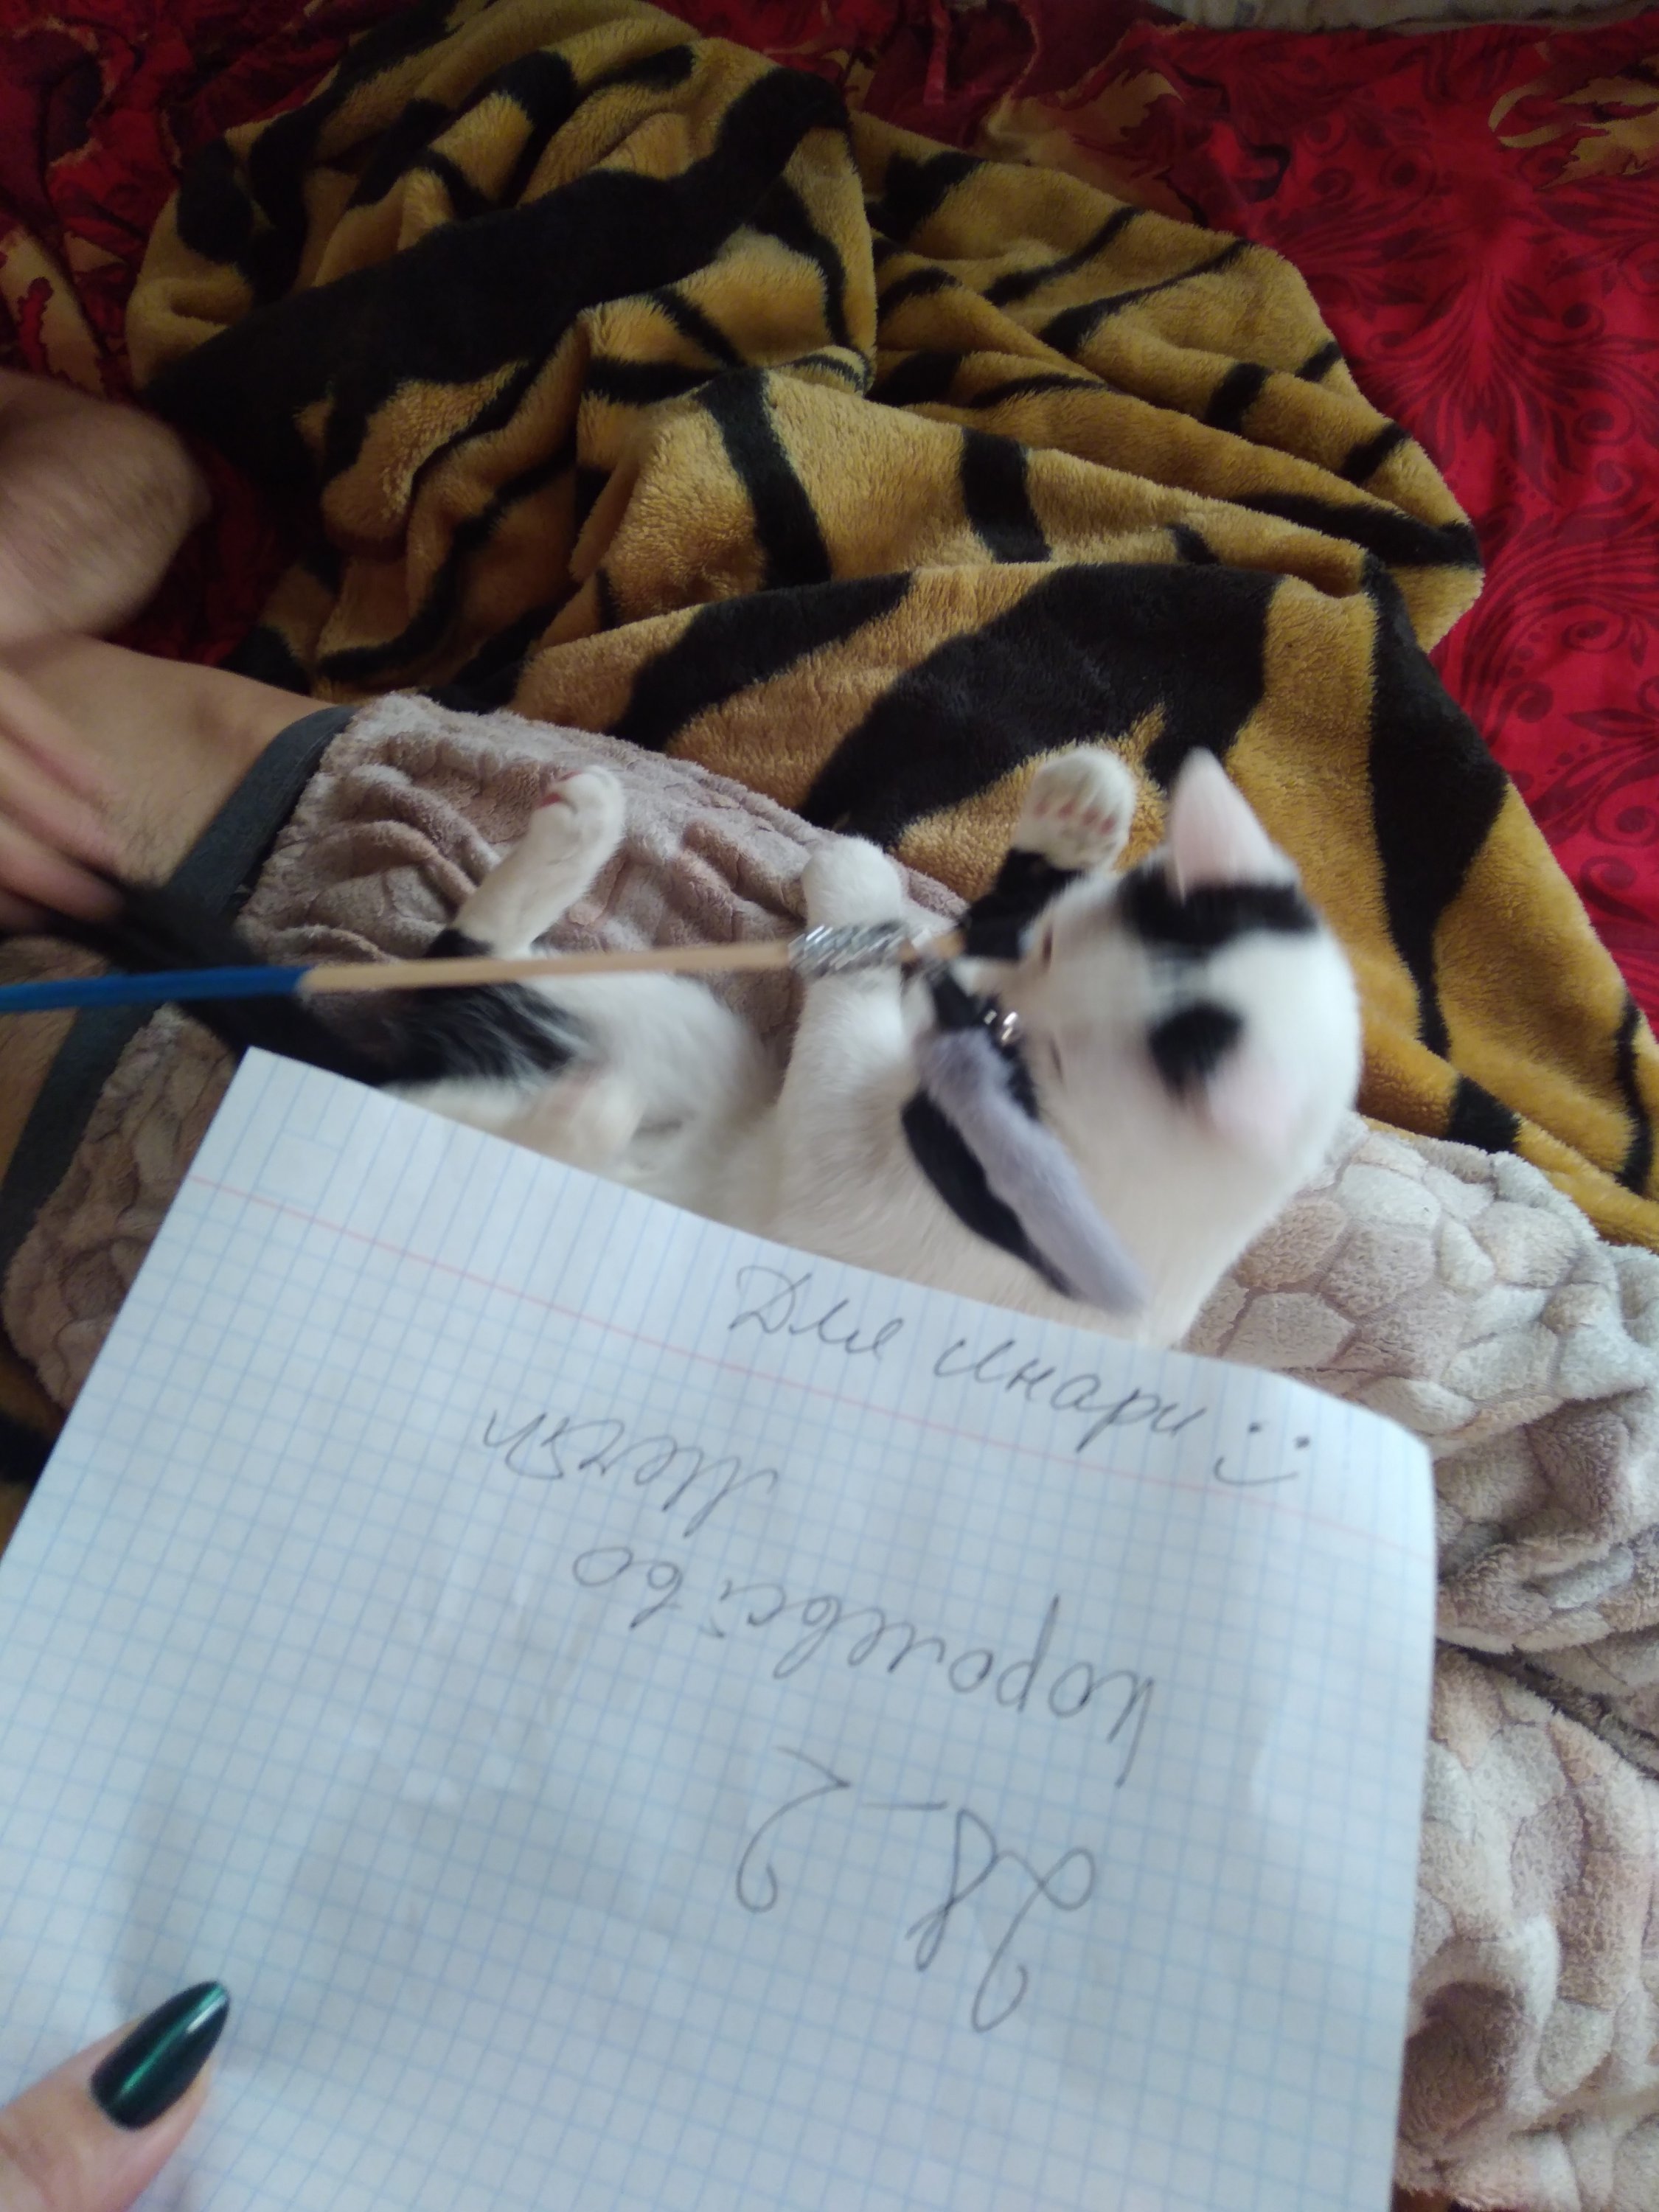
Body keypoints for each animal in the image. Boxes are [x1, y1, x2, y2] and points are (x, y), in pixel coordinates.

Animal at [103, 744, 1356, 1350]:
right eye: (1038, 947)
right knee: (456, 954)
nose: (954, 986)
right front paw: (1074, 821)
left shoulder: (846, 1166)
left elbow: (853, 1011)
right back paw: (574, 847)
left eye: (1009, 1039)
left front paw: (861, 898)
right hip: (676, 1024)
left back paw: (577, 1119)